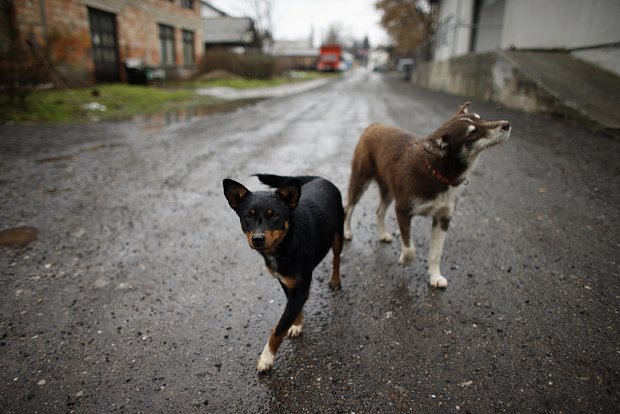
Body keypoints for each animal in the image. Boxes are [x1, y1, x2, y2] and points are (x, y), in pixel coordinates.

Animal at [223, 173, 344, 374]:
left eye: (275, 216)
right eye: (248, 216)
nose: (257, 239)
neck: (285, 244)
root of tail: (320, 178)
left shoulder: (301, 289)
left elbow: (278, 329)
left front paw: (267, 358)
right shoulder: (286, 282)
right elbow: (292, 311)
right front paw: (297, 323)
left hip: (338, 234)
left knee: (336, 258)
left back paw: (335, 280)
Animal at [342, 102, 512, 286]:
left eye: (480, 118)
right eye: (472, 133)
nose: (507, 124)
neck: (438, 172)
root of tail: (374, 126)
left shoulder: (443, 218)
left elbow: (436, 254)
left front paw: (435, 277)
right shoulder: (402, 211)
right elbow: (410, 248)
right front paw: (404, 260)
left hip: (388, 189)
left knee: (379, 211)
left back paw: (382, 234)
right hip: (360, 181)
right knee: (349, 207)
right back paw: (347, 231)